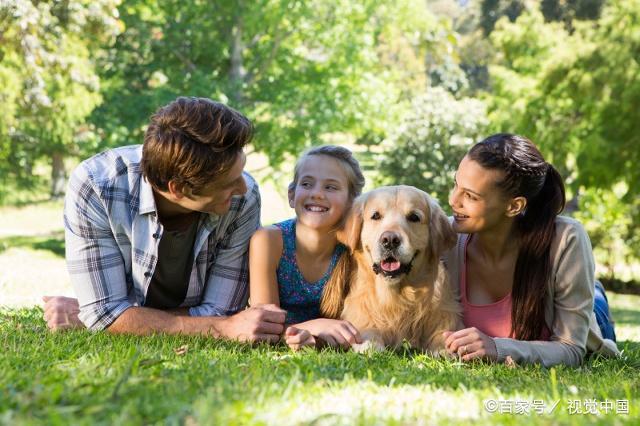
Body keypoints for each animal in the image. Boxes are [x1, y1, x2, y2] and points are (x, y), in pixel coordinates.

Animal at [320, 186, 460, 352]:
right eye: (376, 216)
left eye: (414, 217)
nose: (390, 240)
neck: (396, 297)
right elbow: (367, 331)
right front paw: (370, 344)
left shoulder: (445, 312)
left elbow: (443, 333)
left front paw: (443, 348)